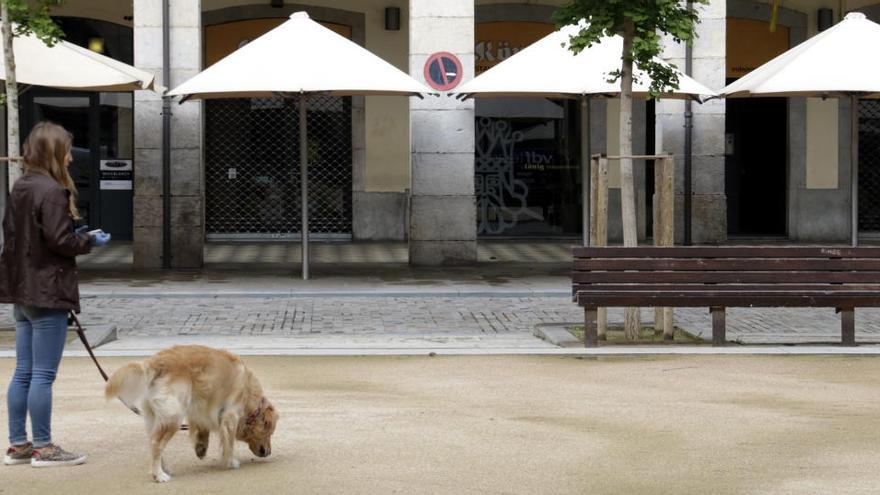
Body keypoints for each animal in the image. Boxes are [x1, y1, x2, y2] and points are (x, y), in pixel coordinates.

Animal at [105, 346, 280, 482]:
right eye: (269, 433)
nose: (268, 452)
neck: (248, 392)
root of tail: (153, 363)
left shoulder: (203, 410)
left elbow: (203, 429)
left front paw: (201, 449)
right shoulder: (230, 415)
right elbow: (229, 443)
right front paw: (230, 462)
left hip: (154, 417)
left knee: (153, 442)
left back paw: (163, 469)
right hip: (173, 417)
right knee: (156, 444)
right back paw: (159, 475)